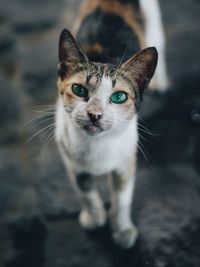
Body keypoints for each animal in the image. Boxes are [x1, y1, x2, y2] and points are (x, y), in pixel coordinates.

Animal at [55, 0, 168, 249]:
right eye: (78, 90)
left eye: (119, 97)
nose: (94, 114)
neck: (96, 145)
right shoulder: (68, 155)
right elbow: (83, 188)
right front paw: (94, 216)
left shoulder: (126, 159)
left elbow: (122, 198)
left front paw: (123, 230)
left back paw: (162, 81)